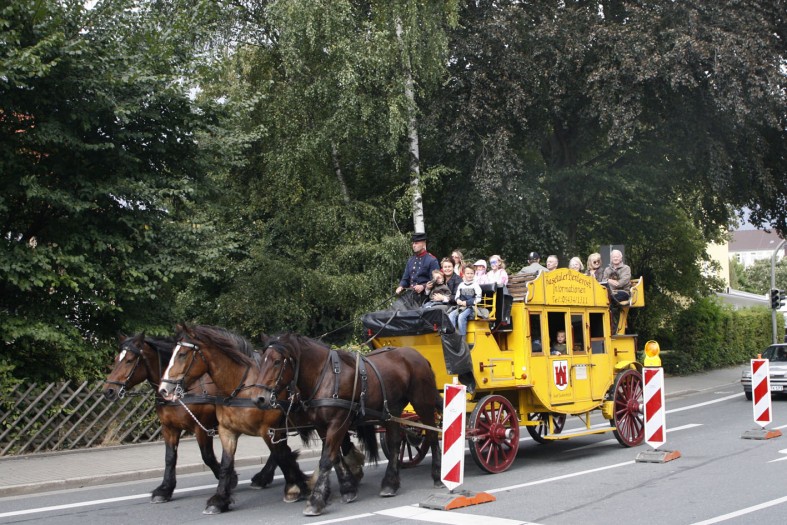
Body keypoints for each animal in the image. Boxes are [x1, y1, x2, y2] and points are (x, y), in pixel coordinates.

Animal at [102, 334, 280, 502]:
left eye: (129, 360)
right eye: (116, 359)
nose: (108, 390)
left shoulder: (201, 427)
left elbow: (207, 456)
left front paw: (230, 480)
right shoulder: (169, 428)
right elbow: (170, 457)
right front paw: (165, 489)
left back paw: (263, 477)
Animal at [156, 324, 312, 514]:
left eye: (182, 354)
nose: (164, 389)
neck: (241, 388)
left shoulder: (269, 430)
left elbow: (282, 456)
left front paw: (296, 487)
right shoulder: (226, 430)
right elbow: (225, 464)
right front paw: (219, 499)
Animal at [251, 333, 443, 516]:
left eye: (277, 362)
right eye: (262, 360)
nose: (259, 399)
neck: (325, 376)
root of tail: (419, 357)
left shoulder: (338, 422)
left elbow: (326, 459)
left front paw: (315, 501)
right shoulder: (321, 426)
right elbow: (335, 457)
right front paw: (347, 488)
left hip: (422, 404)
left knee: (433, 435)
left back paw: (437, 476)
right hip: (392, 411)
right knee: (396, 442)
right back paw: (390, 484)